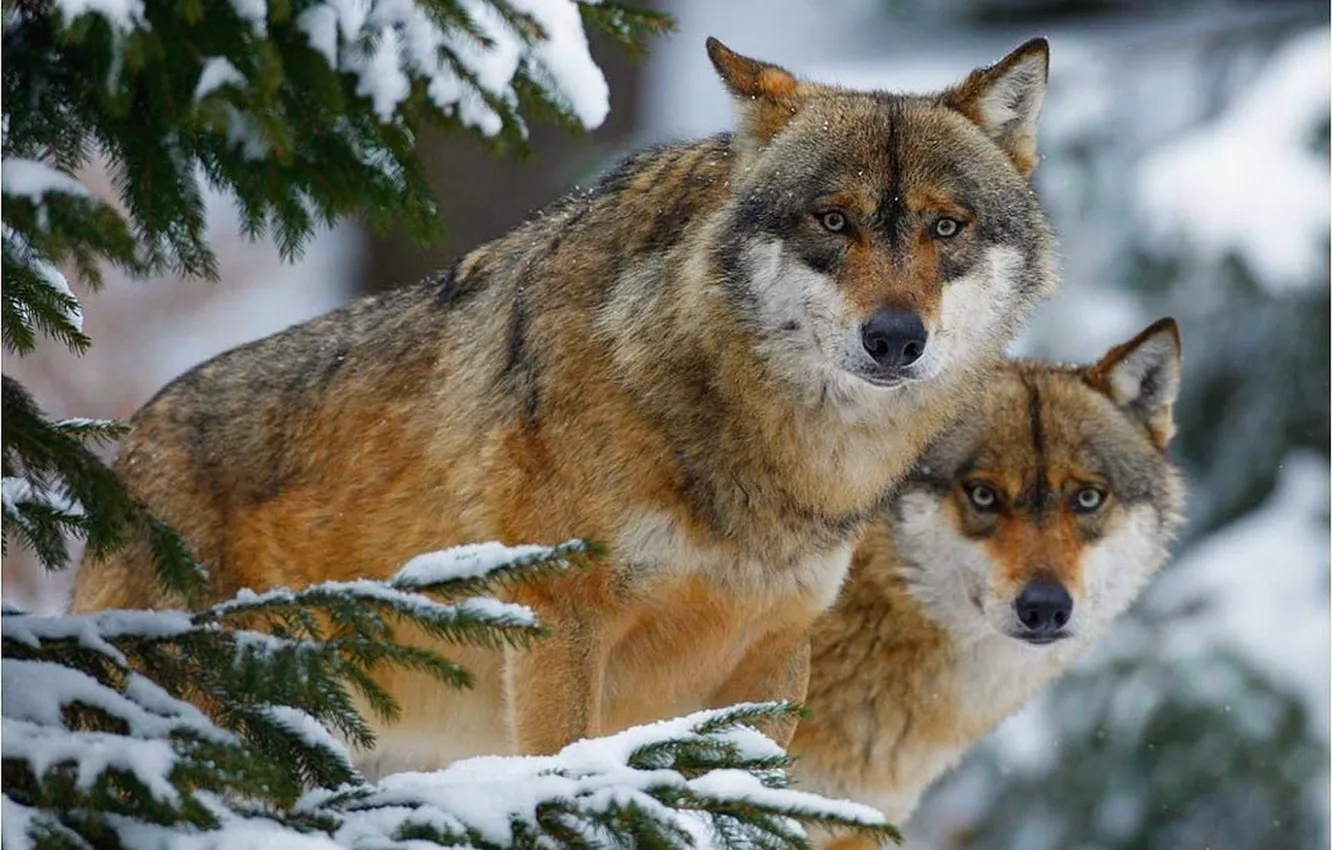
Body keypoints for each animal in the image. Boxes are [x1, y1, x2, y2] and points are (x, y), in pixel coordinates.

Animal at [70, 36, 1058, 769]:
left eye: (946, 226)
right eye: (833, 219)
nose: (895, 338)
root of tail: (128, 451)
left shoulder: (774, 658)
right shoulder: (561, 627)